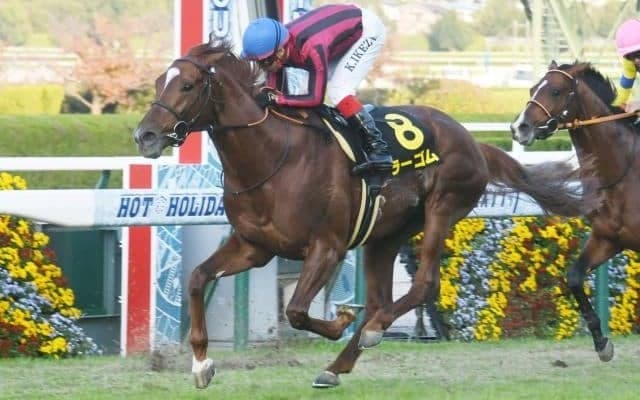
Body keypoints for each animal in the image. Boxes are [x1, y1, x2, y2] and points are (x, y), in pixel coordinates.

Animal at [134, 40, 594, 389]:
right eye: (158, 82)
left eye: (188, 85)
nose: (145, 135)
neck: (273, 156)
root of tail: (472, 140)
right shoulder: (253, 246)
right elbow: (197, 278)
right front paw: (201, 364)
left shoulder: (327, 247)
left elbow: (296, 311)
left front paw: (339, 319)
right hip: (385, 235)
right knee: (380, 299)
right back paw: (338, 365)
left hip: (442, 208)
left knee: (423, 284)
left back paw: (371, 331)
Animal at [511, 60, 640, 363]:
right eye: (533, 88)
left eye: (556, 91)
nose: (519, 127)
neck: (621, 173)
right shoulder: (606, 238)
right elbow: (574, 278)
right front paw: (602, 343)